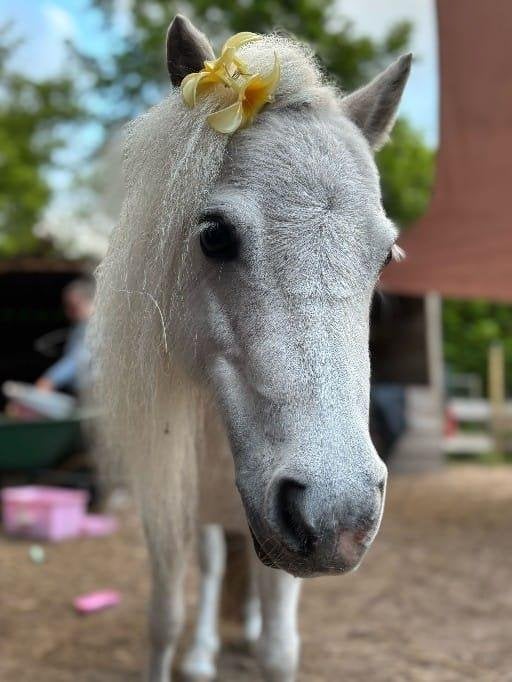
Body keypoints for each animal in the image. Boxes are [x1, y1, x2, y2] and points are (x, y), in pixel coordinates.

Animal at [92, 14, 411, 682]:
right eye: (214, 235)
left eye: (385, 258)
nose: (341, 515)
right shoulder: (162, 504)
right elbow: (163, 620)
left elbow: (279, 648)